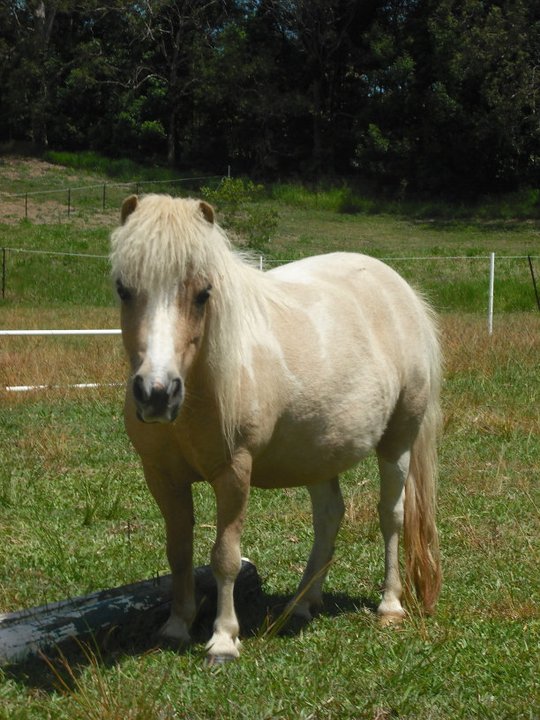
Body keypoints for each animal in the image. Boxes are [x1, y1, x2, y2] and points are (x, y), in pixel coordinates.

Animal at [110, 193, 442, 663]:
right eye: (124, 289)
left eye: (203, 294)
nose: (157, 393)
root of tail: (401, 290)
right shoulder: (162, 476)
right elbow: (178, 551)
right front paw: (176, 626)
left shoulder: (234, 473)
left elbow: (225, 556)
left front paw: (223, 639)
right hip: (320, 454)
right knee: (329, 518)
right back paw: (302, 604)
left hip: (398, 442)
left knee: (390, 516)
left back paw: (390, 605)